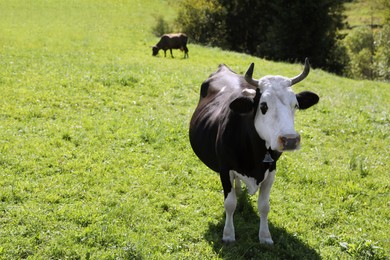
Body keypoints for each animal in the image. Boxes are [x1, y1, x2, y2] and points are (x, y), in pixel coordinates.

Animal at [190, 59, 320, 244]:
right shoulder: (225, 169)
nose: (290, 140)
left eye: (295, 105)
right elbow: (230, 203)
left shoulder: (272, 170)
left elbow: (264, 206)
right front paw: (228, 234)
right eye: (263, 106)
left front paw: (265, 236)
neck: (255, 155)